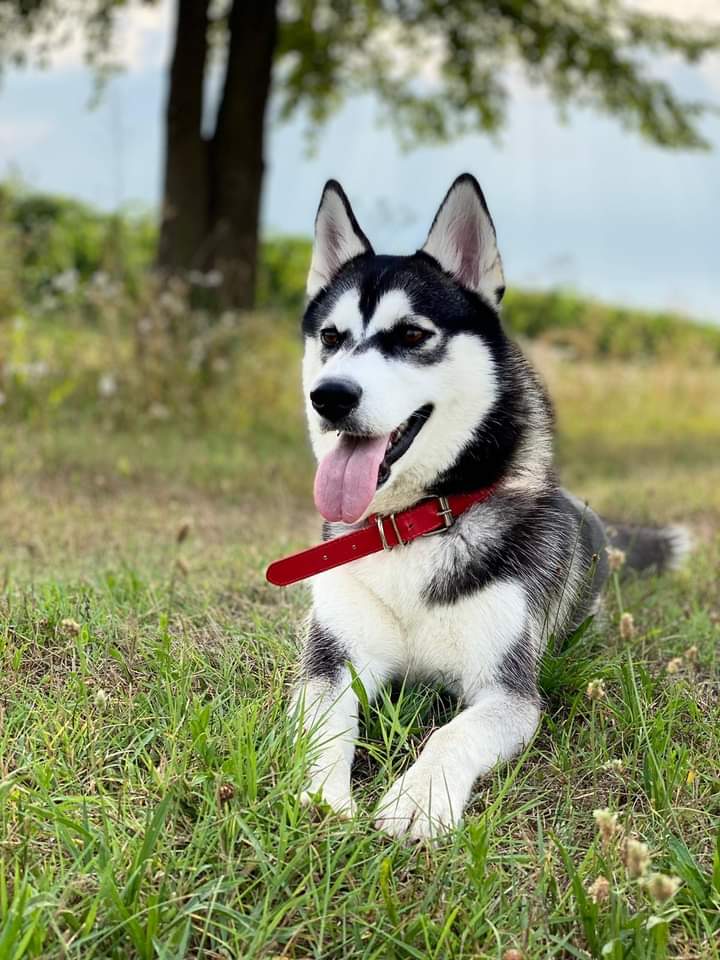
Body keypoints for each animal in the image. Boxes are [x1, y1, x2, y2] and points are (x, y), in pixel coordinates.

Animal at [280, 173, 690, 840]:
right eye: (331, 338)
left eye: (412, 335)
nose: (330, 396)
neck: (409, 528)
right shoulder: (333, 660)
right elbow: (324, 722)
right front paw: (319, 795)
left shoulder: (507, 693)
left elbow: (452, 733)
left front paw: (417, 799)